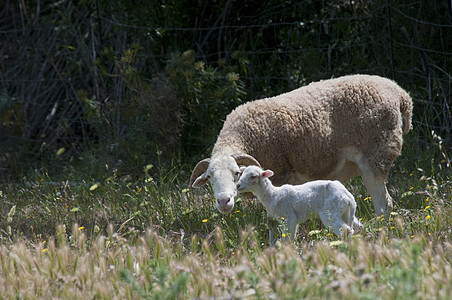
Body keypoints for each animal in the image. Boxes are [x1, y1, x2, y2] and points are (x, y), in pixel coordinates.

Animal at [189, 74, 412, 219]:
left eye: (237, 173)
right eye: (209, 178)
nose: (223, 201)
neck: (242, 135)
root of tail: (400, 94)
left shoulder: (282, 175)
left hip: (375, 156)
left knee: (383, 204)